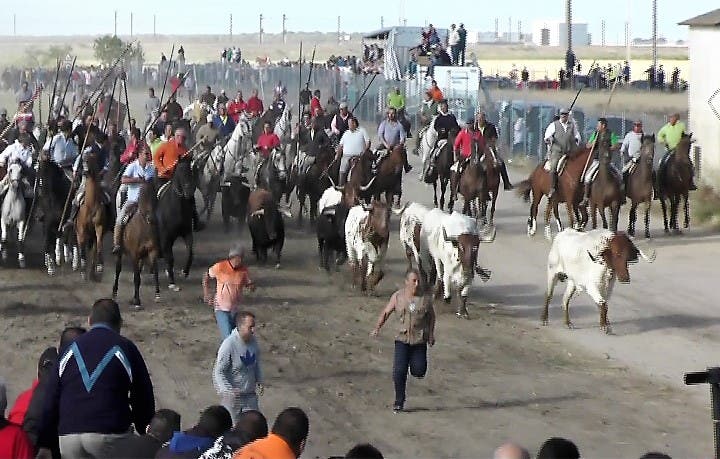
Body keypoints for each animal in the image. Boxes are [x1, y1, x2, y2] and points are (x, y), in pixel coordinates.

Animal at [111, 181, 160, 310]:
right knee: (118, 269)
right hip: (120, 253)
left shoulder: (152, 251)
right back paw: (114, 292)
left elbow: (155, 272)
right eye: (142, 195)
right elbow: (136, 278)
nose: (151, 218)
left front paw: (157, 295)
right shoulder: (134, 254)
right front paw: (137, 300)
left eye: (154, 194)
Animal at [157, 155, 197, 292]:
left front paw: (185, 272)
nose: (189, 192)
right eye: (180, 171)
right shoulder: (165, 236)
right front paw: (172, 282)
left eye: (192, 171)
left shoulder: (187, 232)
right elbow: (170, 258)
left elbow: (190, 252)